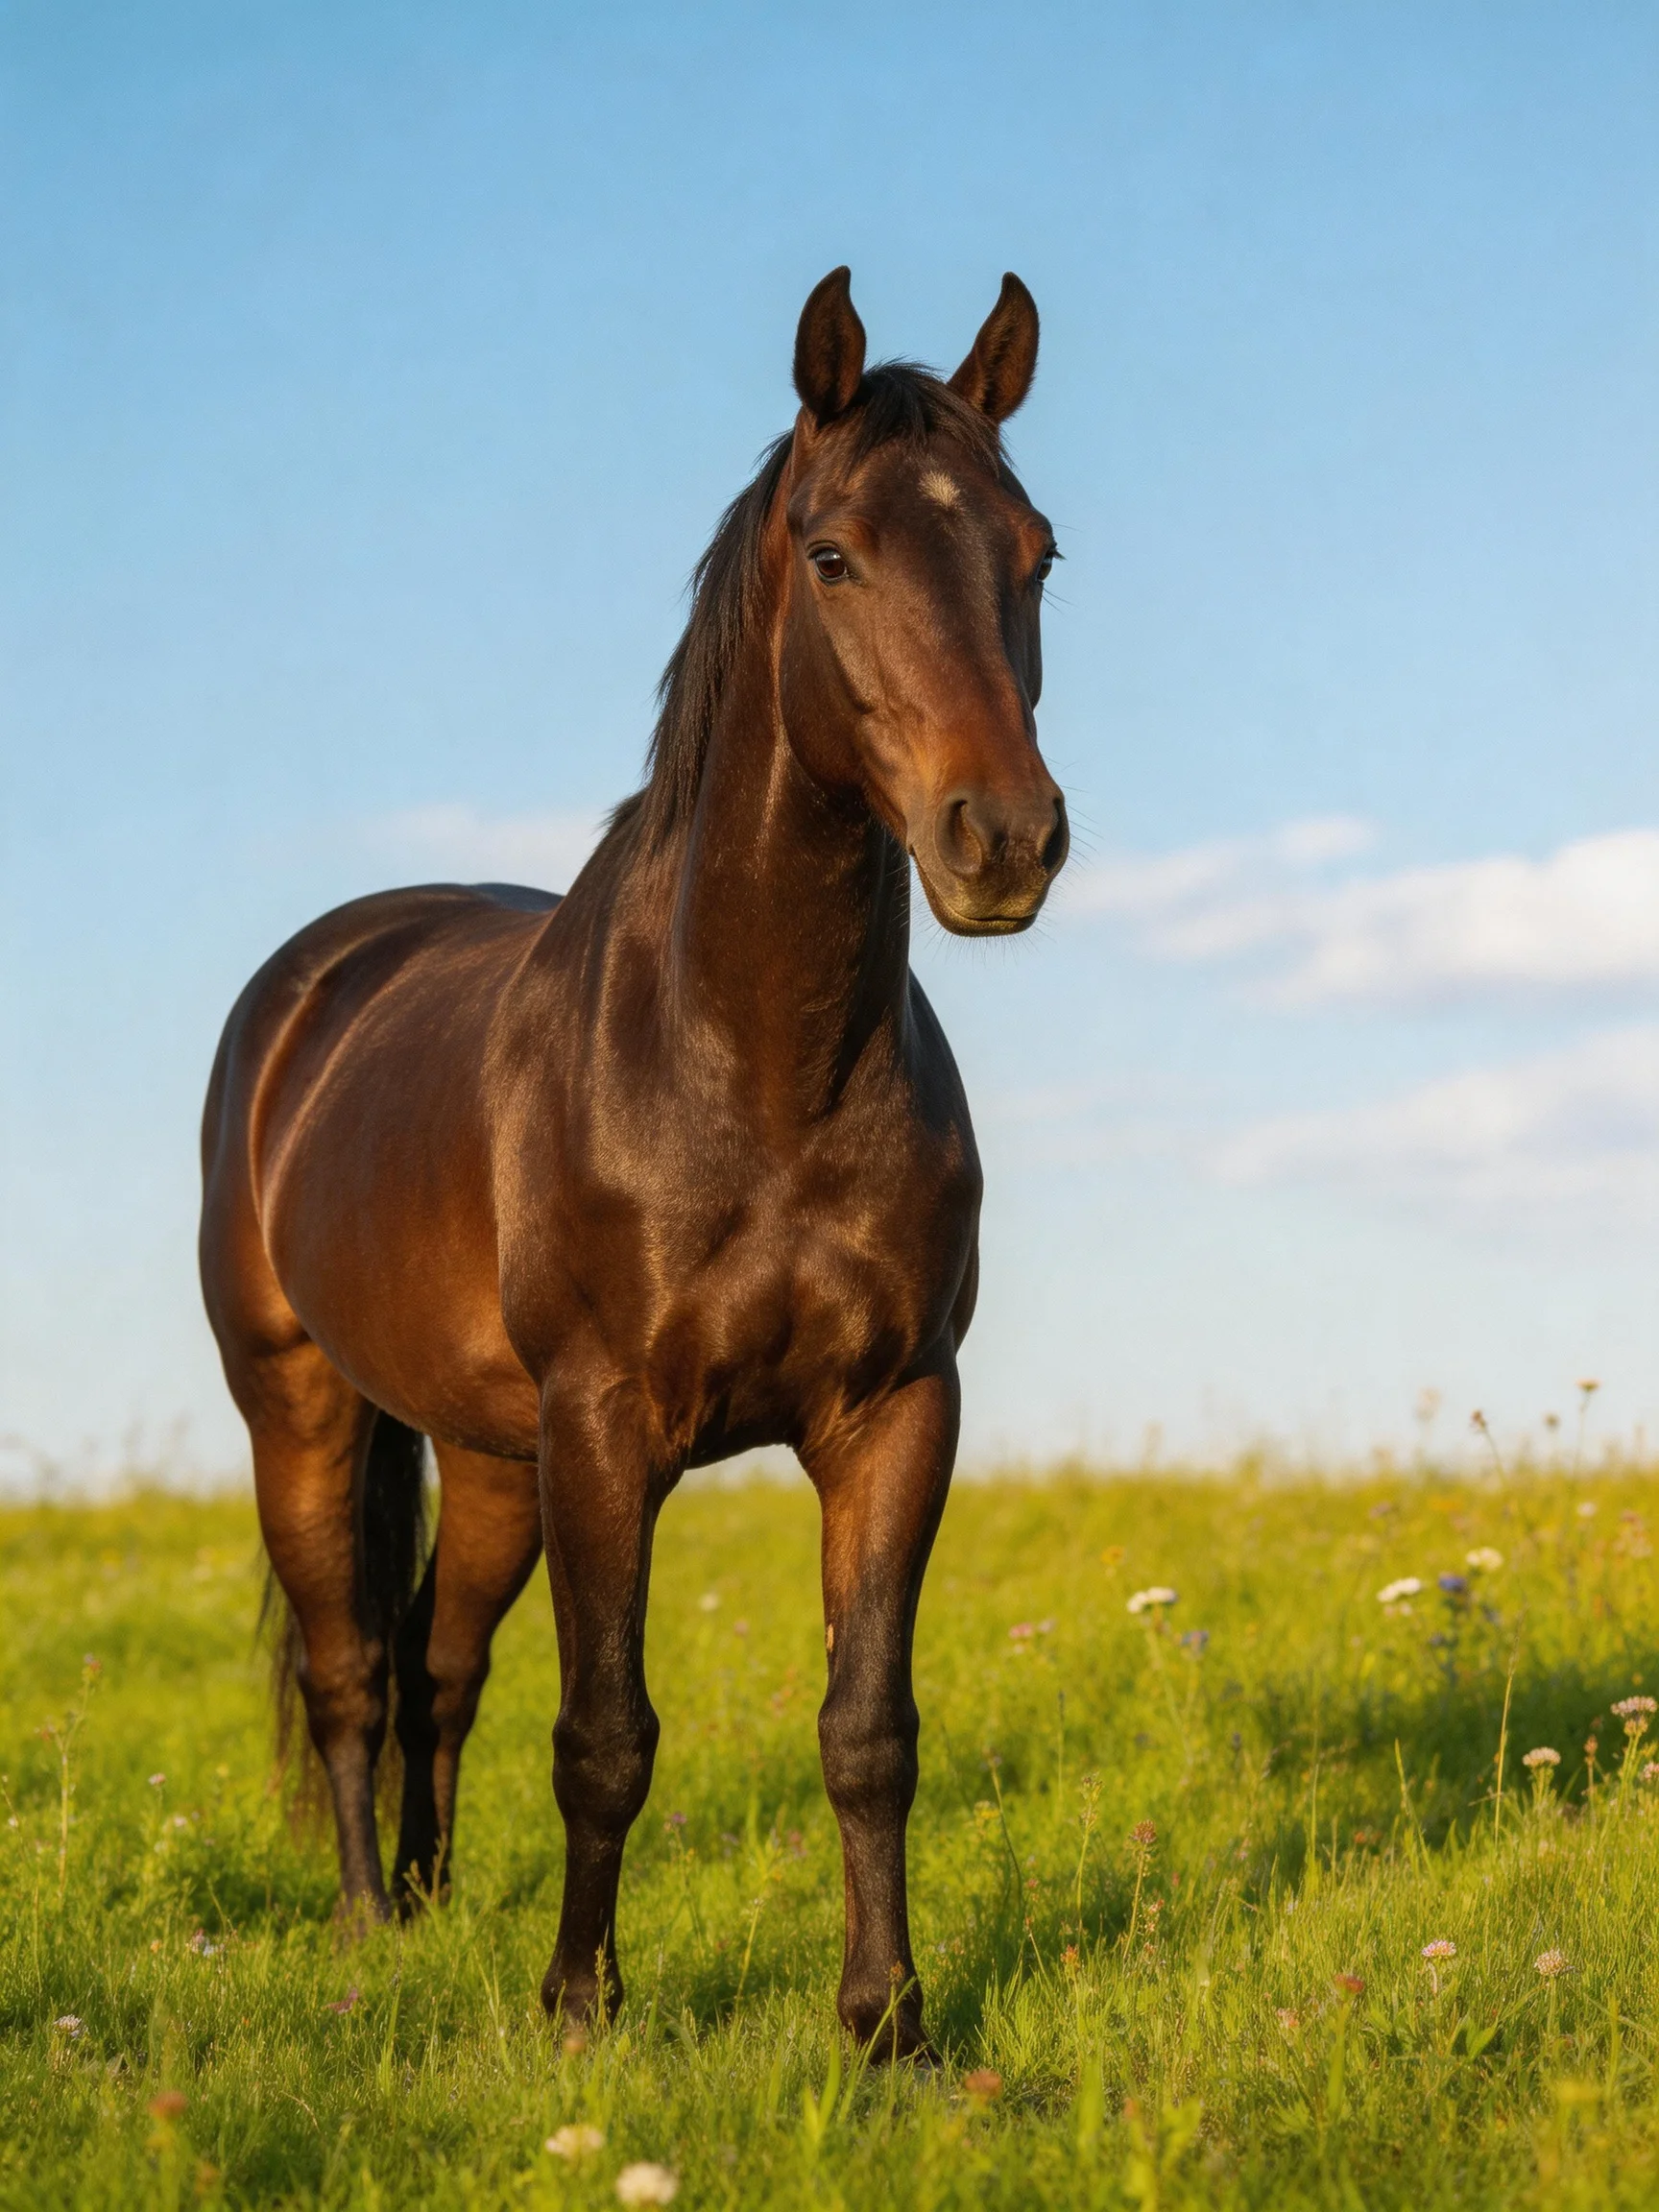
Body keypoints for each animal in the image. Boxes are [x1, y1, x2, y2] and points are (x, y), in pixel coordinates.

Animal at [199, 266, 1068, 2059]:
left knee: (435, 1663)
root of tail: (317, 977)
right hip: (299, 1405)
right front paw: (580, 2006)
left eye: (1037, 553)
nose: (1005, 840)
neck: (749, 1068)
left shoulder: (895, 1412)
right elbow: (605, 1730)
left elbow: (868, 1727)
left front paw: (886, 2021)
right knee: (350, 1670)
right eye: (833, 552)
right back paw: (366, 1927)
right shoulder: (608, 1426)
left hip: (492, 1457)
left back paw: (430, 1902)